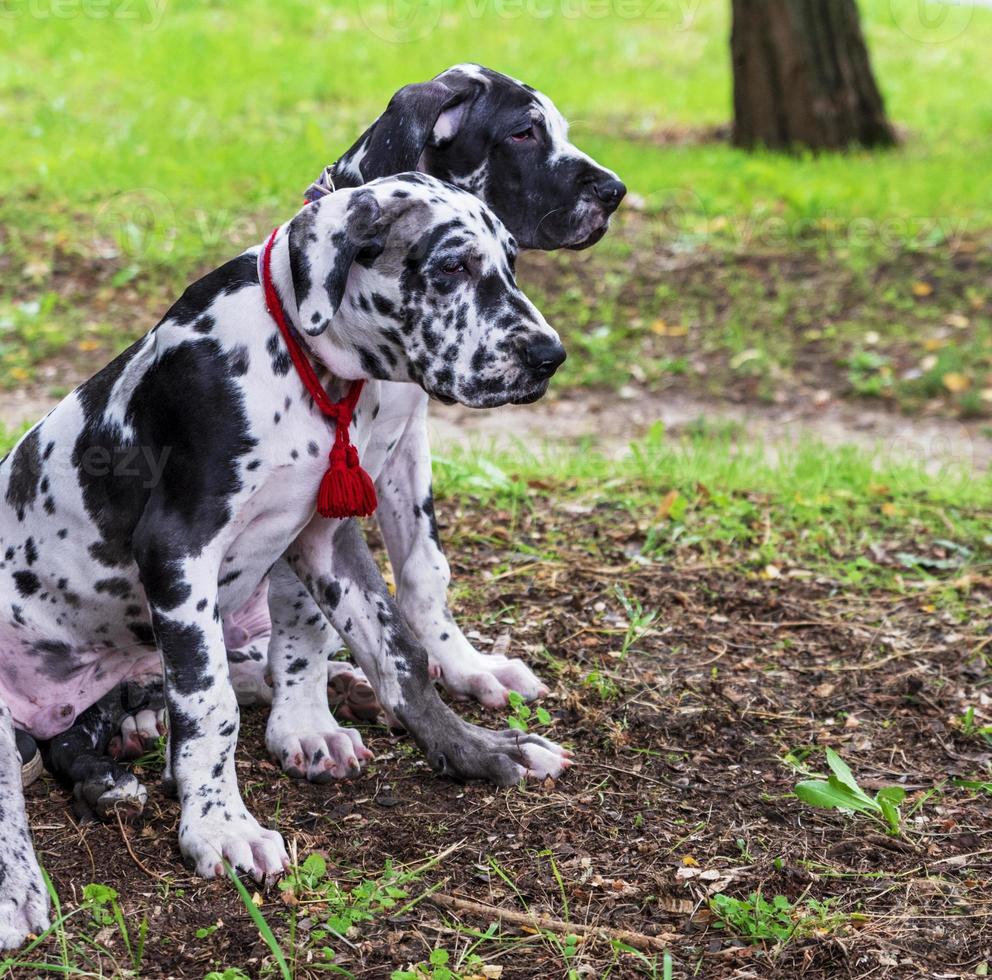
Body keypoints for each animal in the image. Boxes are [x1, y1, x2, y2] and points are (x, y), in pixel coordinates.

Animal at [0, 176, 568, 948]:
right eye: (451, 266)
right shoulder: (178, 549)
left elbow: (401, 656)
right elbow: (208, 707)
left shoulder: (325, 535)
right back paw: (20, 884)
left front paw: (477, 750)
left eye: (512, 261)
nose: (550, 356)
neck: (293, 361)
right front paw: (219, 828)